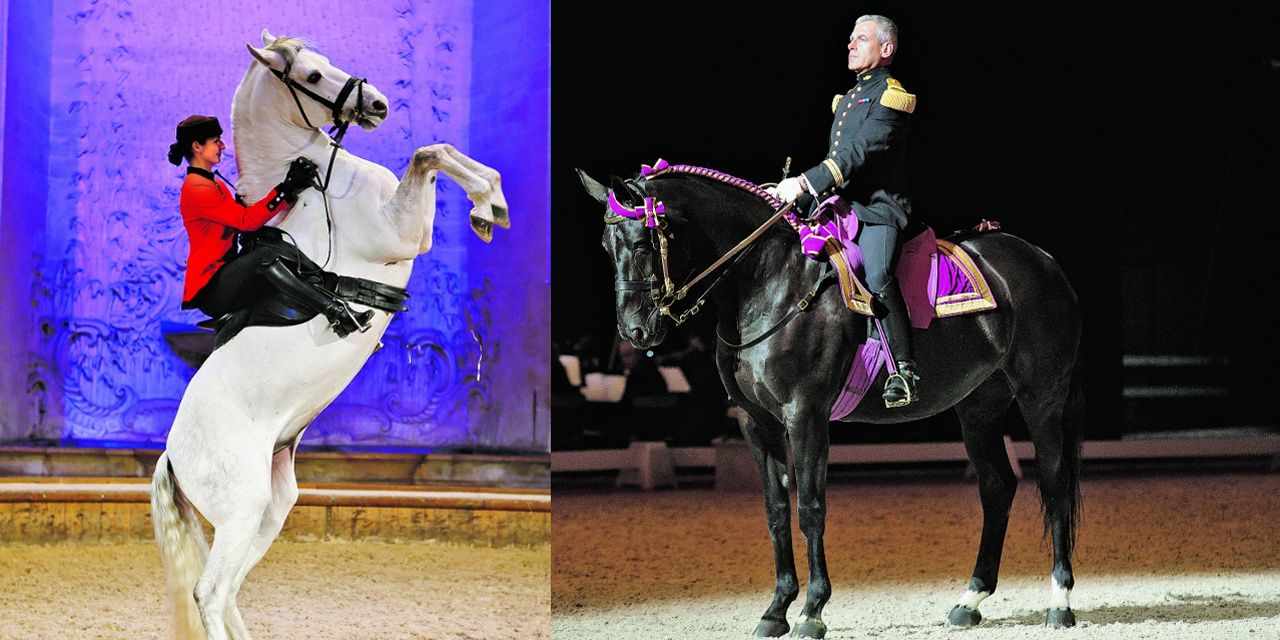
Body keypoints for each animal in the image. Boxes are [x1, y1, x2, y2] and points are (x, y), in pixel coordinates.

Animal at [151, 30, 509, 640]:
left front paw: (491, 205)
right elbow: (427, 154)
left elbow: (441, 149)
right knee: (209, 592)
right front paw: (487, 207)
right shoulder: (401, 234)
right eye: (312, 76)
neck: (318, 179)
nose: (379, 105)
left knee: (228, 592)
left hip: (269, 510)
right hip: (242, 510)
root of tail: (173, 456)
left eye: (326, 61)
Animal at [576, 162, 1085, 637]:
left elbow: (810, 508)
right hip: (979, 408)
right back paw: (970, 599)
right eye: (604, 247)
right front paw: (776, 609)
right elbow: (776, 511)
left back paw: (1059, 602)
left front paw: (812, 610)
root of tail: (1041, 258)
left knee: (1053, 483)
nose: (635, 332)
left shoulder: (805, 415)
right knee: (997, 487)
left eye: (642, 244)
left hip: (1041, 397)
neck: (770, 282)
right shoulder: (755, 423)